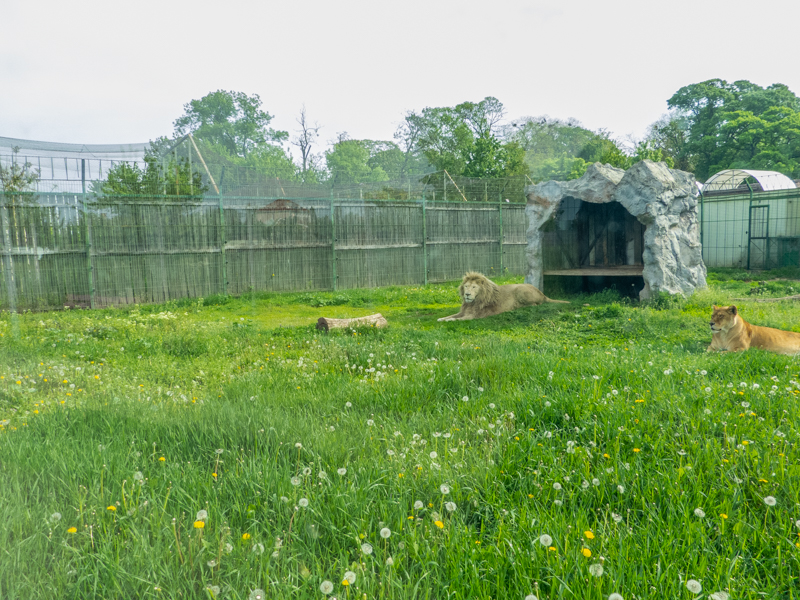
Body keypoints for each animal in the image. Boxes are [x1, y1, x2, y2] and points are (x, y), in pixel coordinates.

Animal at [437, 272, 569, 322]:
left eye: (474, 287)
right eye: (466, 286)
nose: (467, 294)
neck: (473, 302)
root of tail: (542, 293)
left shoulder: (474, 316)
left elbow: (455, 319)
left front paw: (448, 320)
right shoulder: (464, 312)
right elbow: (451, 315)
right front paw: (441, 318)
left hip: (520, 290)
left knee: (536, 304)